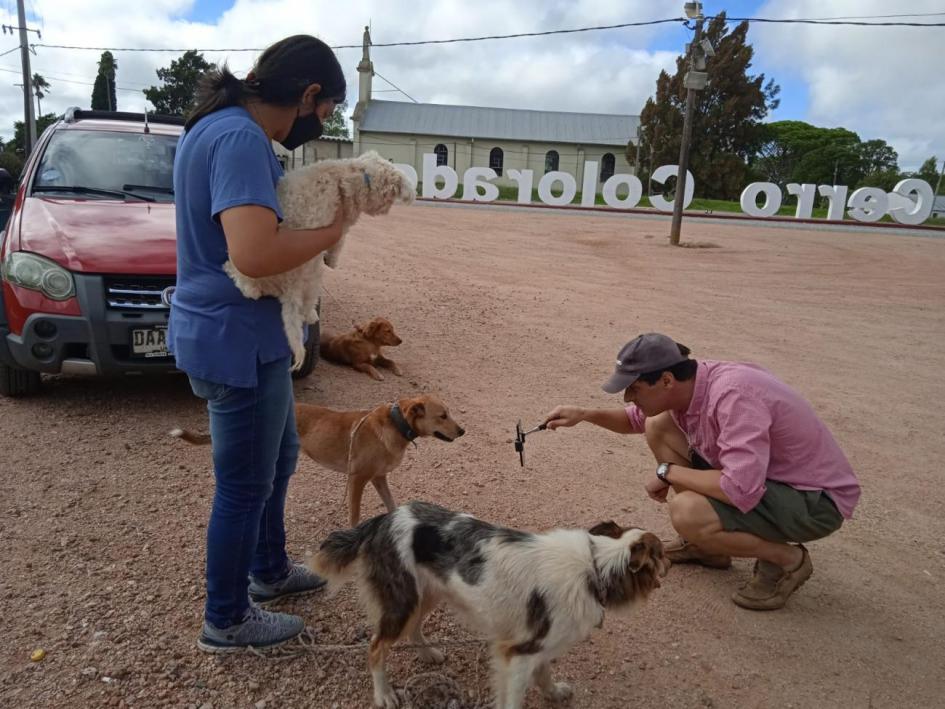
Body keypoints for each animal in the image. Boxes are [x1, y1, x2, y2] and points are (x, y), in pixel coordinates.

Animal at [223, 151, 414, 368]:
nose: (387, 209)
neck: (358, 173)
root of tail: (289, 287)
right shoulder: (342, 222)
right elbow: (339, 241)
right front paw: (332, 259)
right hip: (313, 277)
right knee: (306, 303)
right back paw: (310, 313)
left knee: (243, 279)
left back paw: (245, 284)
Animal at [292, 392, 460, 524]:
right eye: (443, 416)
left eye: (448, 413)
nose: (462, 431)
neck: (397, 424)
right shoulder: (357, 479)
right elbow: (354, 516)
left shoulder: (378, 477)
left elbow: (391, 504)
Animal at [310, 498, 664, 708]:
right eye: (661, 553)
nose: (670, 563)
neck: (595, 568)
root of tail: (383, 518)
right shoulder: (517, 655)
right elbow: (514, 698)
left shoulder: (536, 643)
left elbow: (544, 673)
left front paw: (553, 694)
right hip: (402, 599)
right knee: (375, 647)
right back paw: (383, 694)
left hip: (428, 593)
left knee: (414, 628)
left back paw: (427, 654)